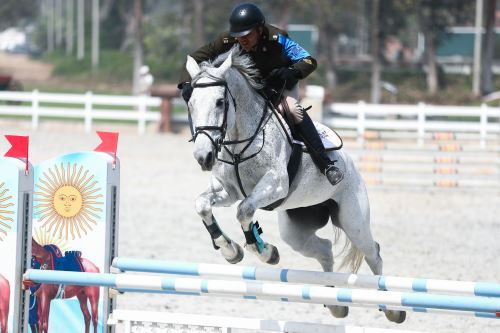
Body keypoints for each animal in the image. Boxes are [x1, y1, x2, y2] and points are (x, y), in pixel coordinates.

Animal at [186, 48, 404, 322]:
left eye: (219, 102)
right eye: (190, 103)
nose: (203, 157)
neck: (239, 143)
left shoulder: (275, 186)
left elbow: (244, 211)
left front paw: (264, 251)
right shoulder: (228, 191)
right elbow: (202, 205)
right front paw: (231, 250)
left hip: (354, 220)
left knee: (373, 253)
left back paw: (391, 308)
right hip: (296, 231)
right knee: (325, 250)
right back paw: (334, 303)